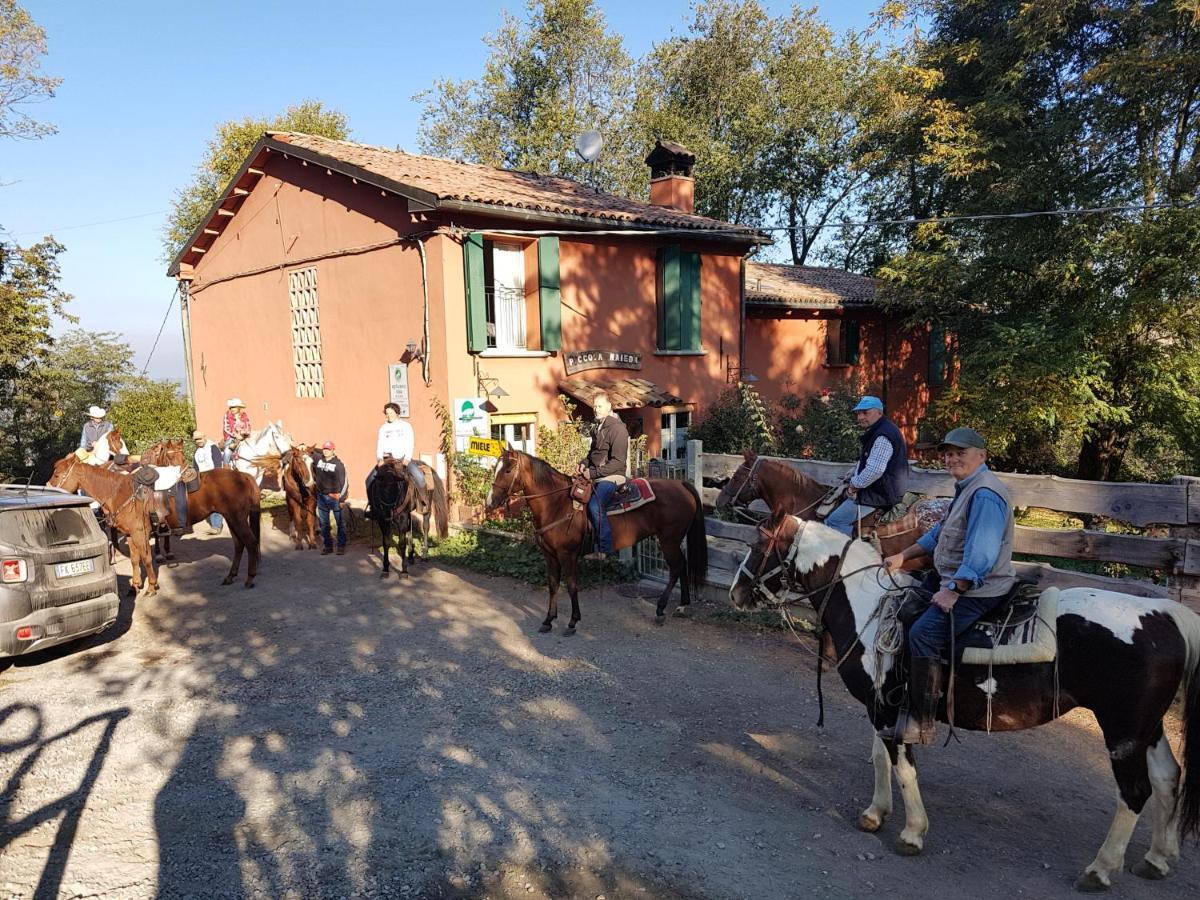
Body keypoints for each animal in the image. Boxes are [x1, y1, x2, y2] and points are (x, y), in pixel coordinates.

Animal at [48, 453, 158, 595]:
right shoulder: (130, 534)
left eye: (56, 475)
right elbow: (134, 559)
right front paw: (135, 586)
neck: (121, 493)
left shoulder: (139, 533)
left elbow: (146, 558)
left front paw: (151, 587)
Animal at [480, 451, 705, 633]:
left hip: (668, 540)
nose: (489, 502)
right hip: (674, 540)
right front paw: (548, 620)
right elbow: (553, 585)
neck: (557, 504)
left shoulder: (567, 555)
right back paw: (682, 605)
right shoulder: (549, 555)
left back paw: (660, 608)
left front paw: (572, 621)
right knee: (683, 565)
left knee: (676, 567)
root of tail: (681, 483)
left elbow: (571, 586)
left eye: (508, 470)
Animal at [729, 513, 1200, 897]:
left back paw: (1100, 869)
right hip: (1147, 728)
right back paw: (1157, 858)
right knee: (1167, 777)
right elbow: (881, 758)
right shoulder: (879, 705)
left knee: (1135, 792)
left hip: (1122, 730)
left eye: (759, 544)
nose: (736, 592)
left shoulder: (892, 710)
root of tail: (1166, 612)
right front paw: (875, 813)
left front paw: (912, 832)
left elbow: (902, 765)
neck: (870, 607)